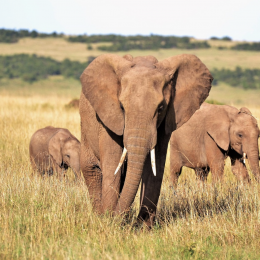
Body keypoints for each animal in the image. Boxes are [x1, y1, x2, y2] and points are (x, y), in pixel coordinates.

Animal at [79, 53, 213, 225]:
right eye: (121, 107)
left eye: (161, 108)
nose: (116, 217)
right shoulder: (108, 118)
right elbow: (112, 164)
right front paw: (109, 221)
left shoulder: (165, 123)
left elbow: (155, 167)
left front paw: (142, 227)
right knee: (92, 169)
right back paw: (99, 216)